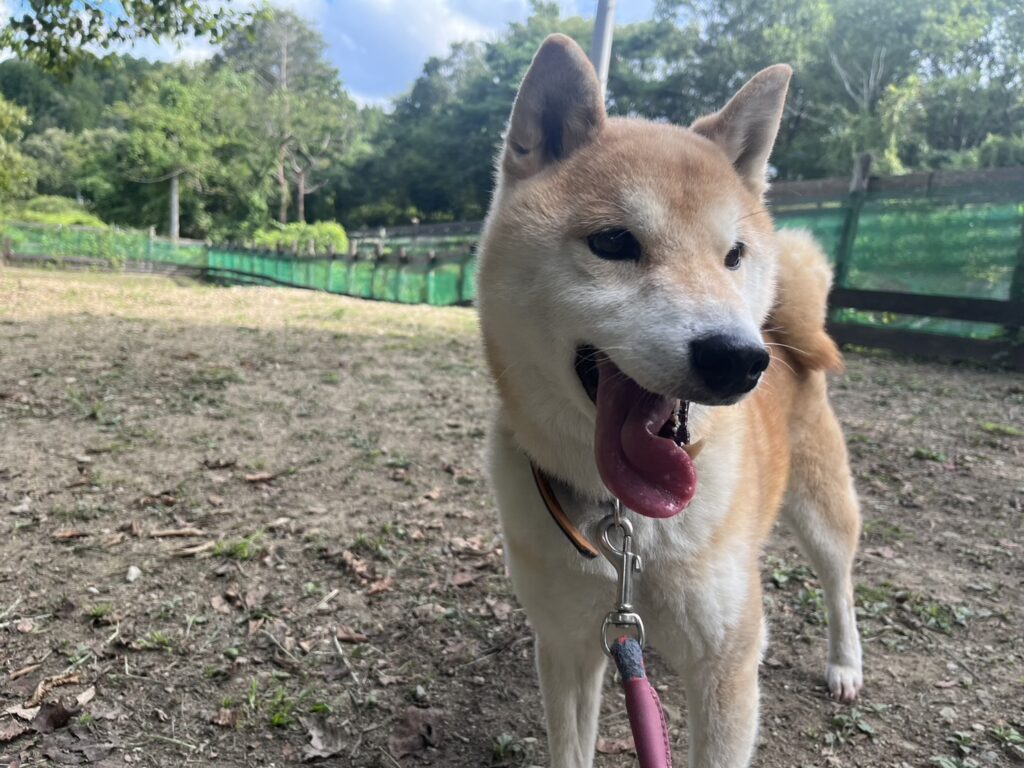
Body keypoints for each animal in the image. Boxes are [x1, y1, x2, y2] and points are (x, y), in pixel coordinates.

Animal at [475, 34, 863, 768]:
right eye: (613, 242)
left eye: (733, 255)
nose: (739, 359)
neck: (625, 527)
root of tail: (788, 337)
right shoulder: (571, 647)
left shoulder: (725, 664)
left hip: (822, 510)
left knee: (839, 582)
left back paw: (846, 662)